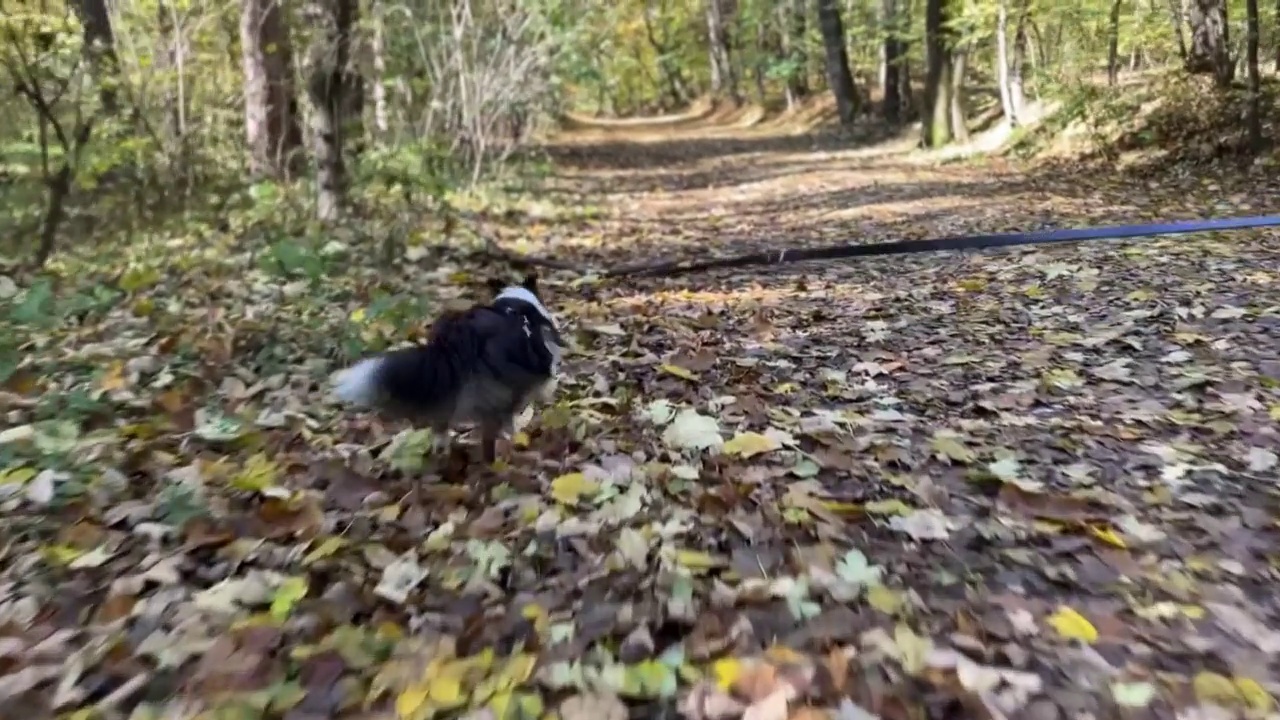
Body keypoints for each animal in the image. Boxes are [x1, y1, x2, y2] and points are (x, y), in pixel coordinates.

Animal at [335, 271, 565, 461]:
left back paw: (443, 450)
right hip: (498, 391)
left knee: (441, 424)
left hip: (445, 385)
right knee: (495, 426)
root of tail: (459, 335)